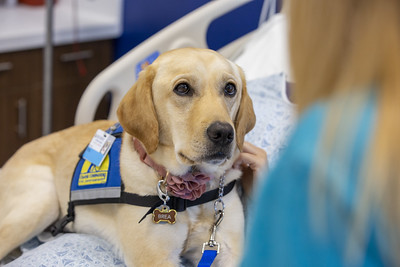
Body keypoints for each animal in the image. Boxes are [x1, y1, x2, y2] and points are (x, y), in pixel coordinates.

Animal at [0, 48, 255, 267]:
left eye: (230, 89)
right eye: (182, 88)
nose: (224, 133)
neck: (190, 194)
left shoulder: (227, 249)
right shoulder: (155, 259)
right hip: (42, 202)